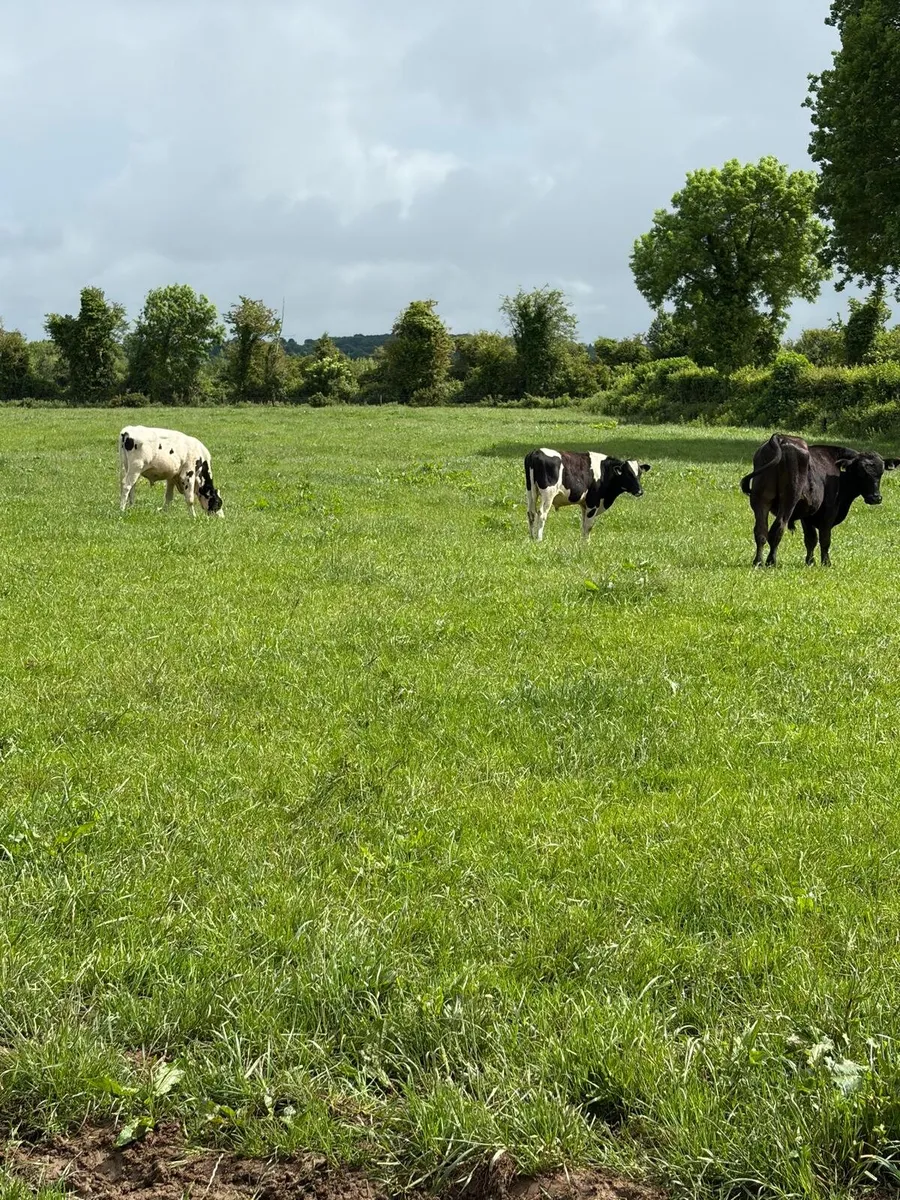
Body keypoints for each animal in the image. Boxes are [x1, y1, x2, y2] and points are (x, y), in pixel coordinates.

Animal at [740, 432, 899, 567]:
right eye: (861, 472)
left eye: (881, 472)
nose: (876, 498)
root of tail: (780, 438)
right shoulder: (830, 510)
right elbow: (824, 538)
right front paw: (826, 563)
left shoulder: (807, 515)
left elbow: (811, 539)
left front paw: (810, 561)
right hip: (789, 500)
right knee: (777, 528)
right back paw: (771, 561)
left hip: (760, 500)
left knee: (761, 532)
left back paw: (758, 562)